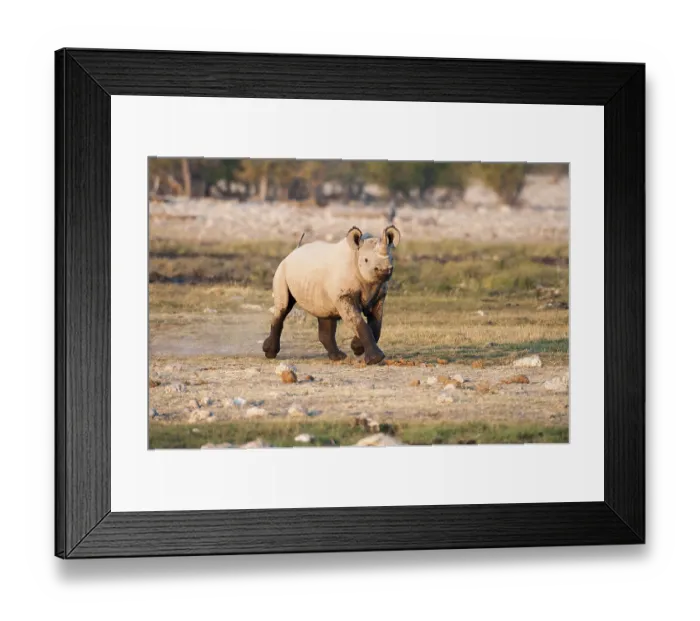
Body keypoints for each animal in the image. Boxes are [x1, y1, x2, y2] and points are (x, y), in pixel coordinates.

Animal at [262, 225, 401, 365]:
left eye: (392, 259)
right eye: (366, 260)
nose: (384, 270)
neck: (356, 255)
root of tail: (292, 252)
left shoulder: (378, 295)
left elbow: (376, 324)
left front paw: (357, 347)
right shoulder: (344, 296)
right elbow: (357, 321)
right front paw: (375, 359)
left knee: (325, 313)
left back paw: (338, 357)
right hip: (281, 271)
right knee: (283, 307)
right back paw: (269, 353)